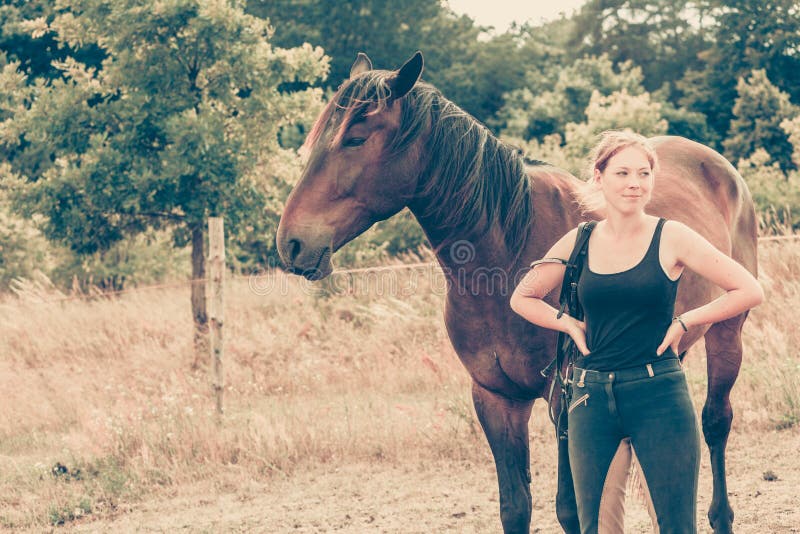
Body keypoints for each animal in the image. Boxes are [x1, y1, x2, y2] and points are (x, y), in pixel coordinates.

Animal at [276, 51, 756, 534]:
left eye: (354, 139)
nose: (291, 243)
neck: (505, 261)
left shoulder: (564, 397)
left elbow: (570, 508)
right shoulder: (495, 399)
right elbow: (515, 506)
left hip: (727, 334)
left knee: (715, 423)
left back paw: (721, 515)